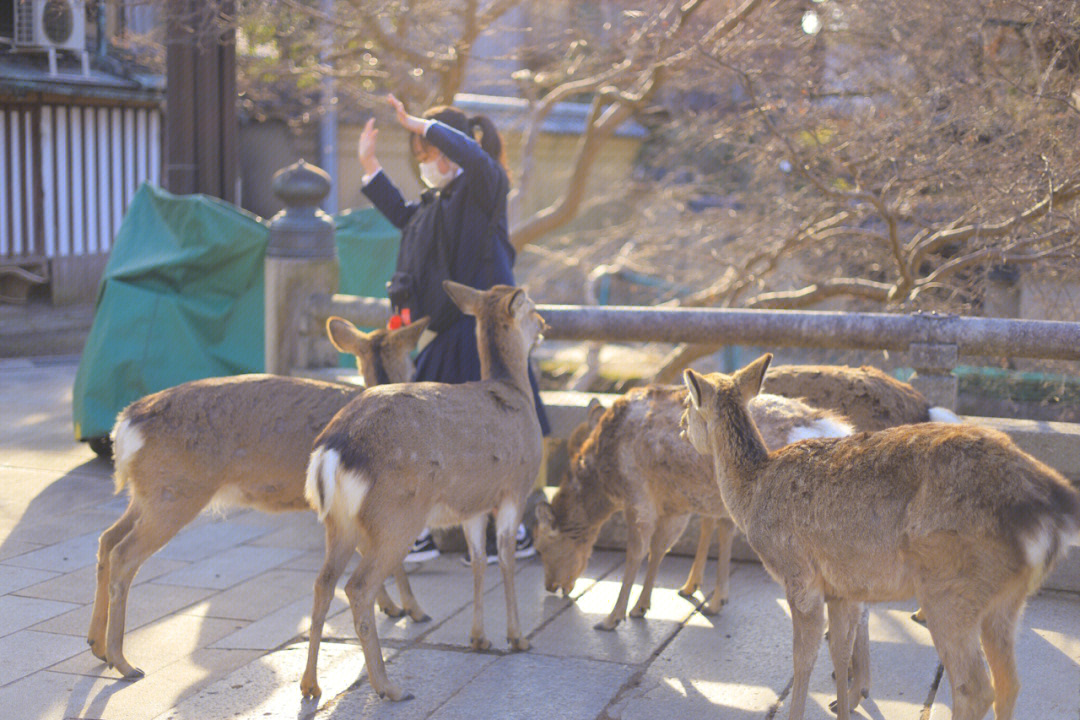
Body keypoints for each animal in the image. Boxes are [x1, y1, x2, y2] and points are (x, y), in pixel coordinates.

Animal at [87, 315, 429, 682]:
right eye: (412, 361)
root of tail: (125, 424)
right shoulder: (383, 498)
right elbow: (392, 559)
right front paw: (414, 609)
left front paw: (392, 607)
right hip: (175, 493)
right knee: (124, 554)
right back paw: (124, 663)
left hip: (148, 493)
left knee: (107, 538)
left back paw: (97, 645)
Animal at [300, 280, 544, 703]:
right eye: (531, 309)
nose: (545, 324)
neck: (512, 390)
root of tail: (330, 451)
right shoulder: (513, 489)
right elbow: (507, 560)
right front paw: (517, 638)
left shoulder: (472, 504)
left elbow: (478, 561)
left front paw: (479, 638)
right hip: (395, 516)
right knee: (358, 587)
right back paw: (389, 687)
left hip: (338, 522)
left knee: (323, 583)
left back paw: (311, 684)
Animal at [531, 382, 851, 630]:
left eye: (543, 547)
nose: (549, 586)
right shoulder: (677, 505)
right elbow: (662, 547)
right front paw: (644, 605)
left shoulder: (638, 494)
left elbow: (637, 551)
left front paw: (612, 618)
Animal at [682, 356, 1080, 720]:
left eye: (687, 404)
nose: (682, 431)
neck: (751, 493)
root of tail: (1053, 508)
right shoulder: (841, 588)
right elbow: (839, 651)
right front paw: (844, 706)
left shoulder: (799, 577)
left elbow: (802, 659)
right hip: (1008, 599)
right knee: (1010, 683)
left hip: (952, 587)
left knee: (974, 687)